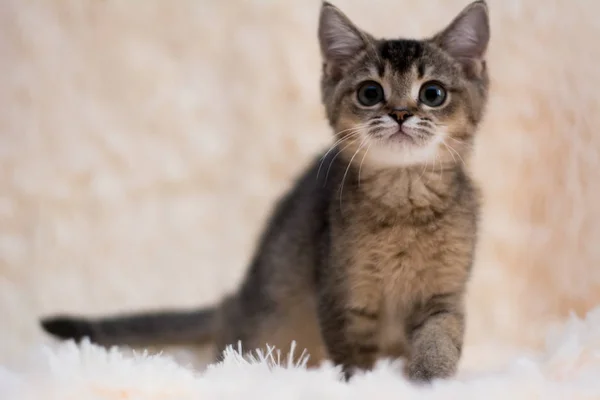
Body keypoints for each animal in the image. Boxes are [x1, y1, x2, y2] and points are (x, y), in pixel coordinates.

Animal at [43, 2, 492, 384]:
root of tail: (235, 301)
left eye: (432, 93)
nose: (400, 113)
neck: (405, 203)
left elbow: (439, 342)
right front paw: (367, 385)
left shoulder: (444, 295)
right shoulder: (342, 297)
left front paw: (429, 381)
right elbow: (354, 362)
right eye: (370, 93)